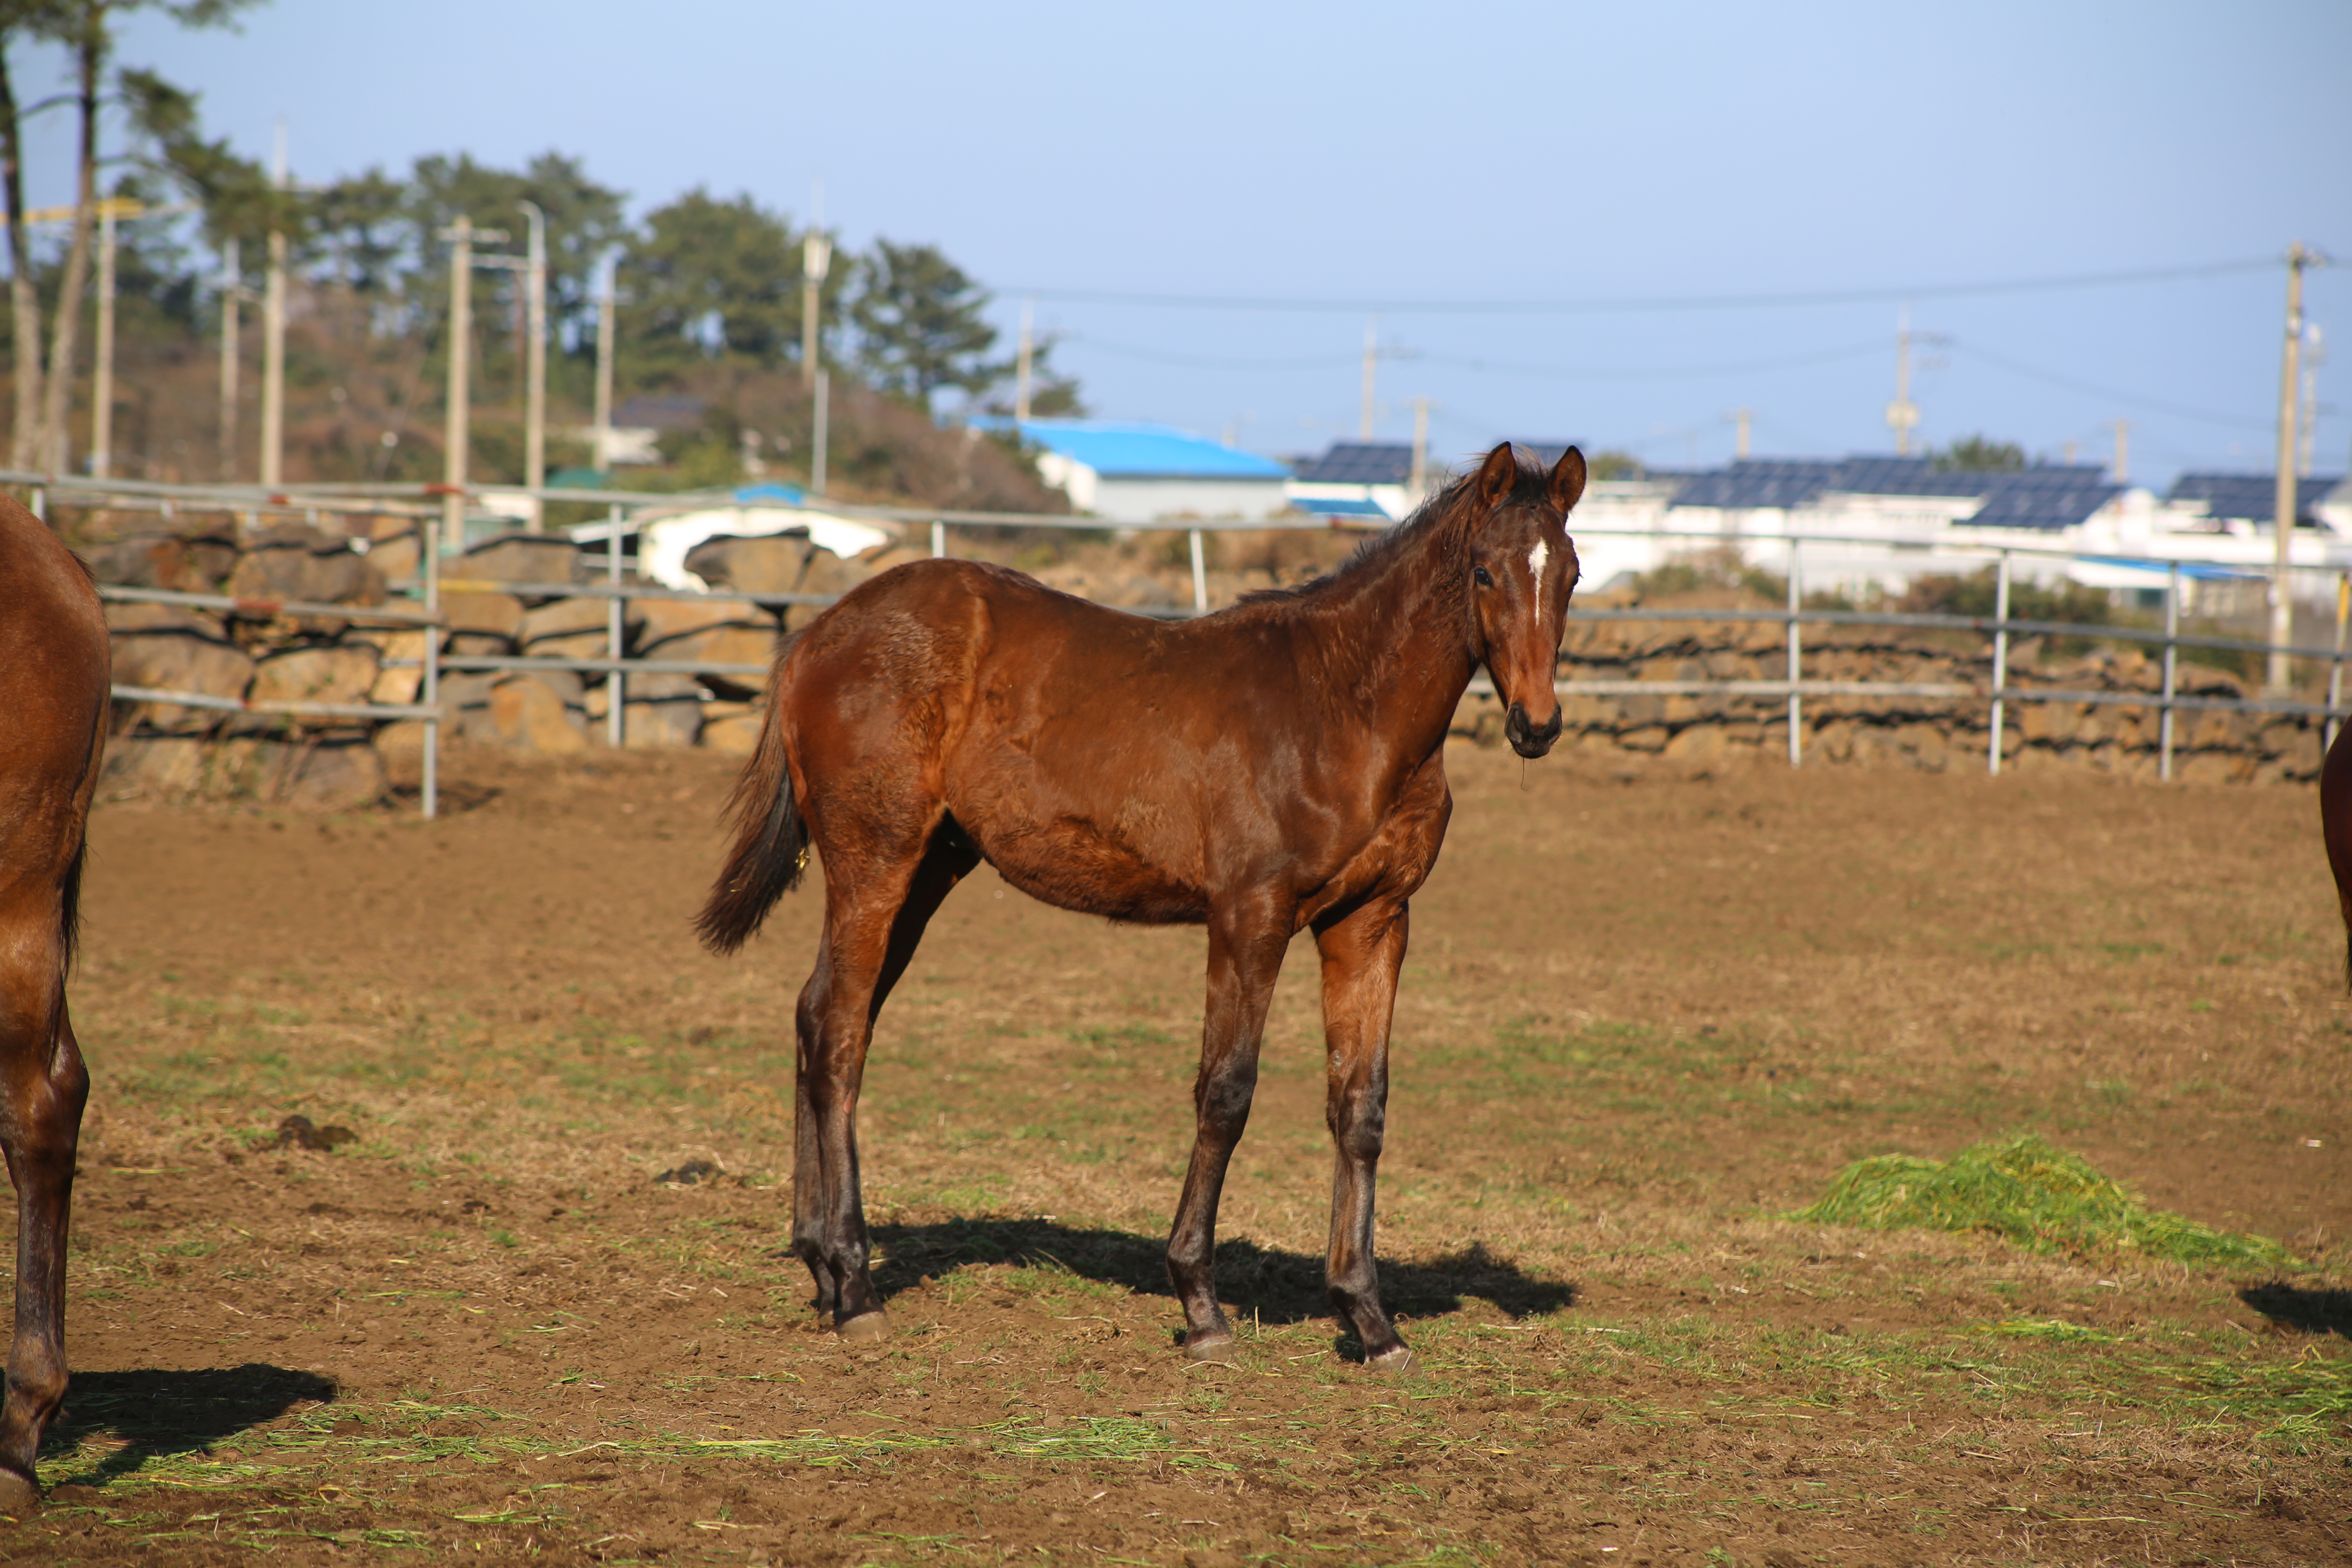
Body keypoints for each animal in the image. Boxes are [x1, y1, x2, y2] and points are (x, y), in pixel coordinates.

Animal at [696, 442, 1580, 1373]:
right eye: (1484, 571)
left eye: (1572, 575)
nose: (1537, 724)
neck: (1345, 708)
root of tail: (816, 635)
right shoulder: (1250, 915)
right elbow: (1226, 1093)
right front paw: (1202, 1307)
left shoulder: (1372, 922)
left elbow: (1361, 1107)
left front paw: (1369, 1320)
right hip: (876, 859)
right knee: (839, 1031)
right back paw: (856, 1286)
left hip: (928, 871)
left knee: (818, 1013)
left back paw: (820, 1267)